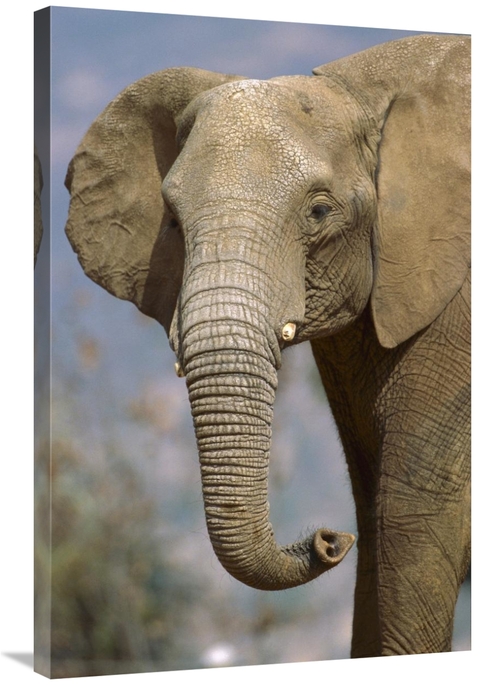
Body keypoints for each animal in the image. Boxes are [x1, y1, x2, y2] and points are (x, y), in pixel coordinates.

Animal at [65, 34, 470, 657]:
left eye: (320, 211)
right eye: (173, 221)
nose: (329, 539)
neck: (366, 89)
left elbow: (410, 516)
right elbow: (376, 511)